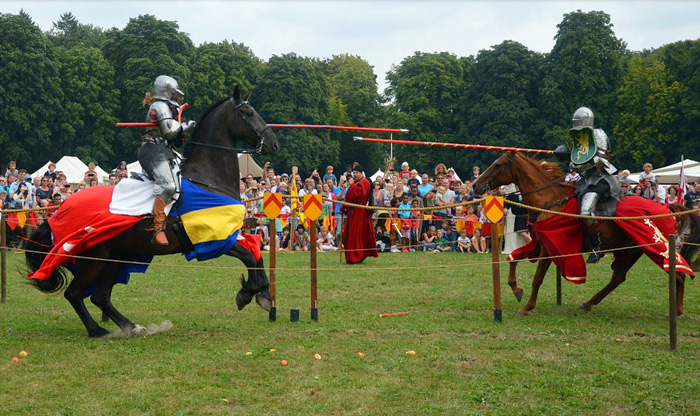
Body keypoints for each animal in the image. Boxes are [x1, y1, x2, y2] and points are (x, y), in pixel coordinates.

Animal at [24, 87, 282, 338]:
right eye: (248, 112)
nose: (274, 143)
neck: (207, 180)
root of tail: (59, 212)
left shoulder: (229, 235)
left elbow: (256, 252)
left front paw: (263, 293)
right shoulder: (213, 240)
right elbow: (248, 256)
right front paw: (250, 292)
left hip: (117, 257)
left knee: (100, 296)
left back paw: (132, 327)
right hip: (94, 259)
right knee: (75, 294)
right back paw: (97, 330)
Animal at [470, 153, 700, 316]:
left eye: (498, 165)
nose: (475, 185)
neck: (549, 200)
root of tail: (667, 208)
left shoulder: (548, 248)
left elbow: (537, 278)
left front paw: (527, 307)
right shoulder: (539, 243)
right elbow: (513, 258)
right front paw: (517, 290)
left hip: (651, 245)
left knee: (677, 272)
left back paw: (677, 311)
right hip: (631, 250)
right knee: (618, 278)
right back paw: (589, 303)